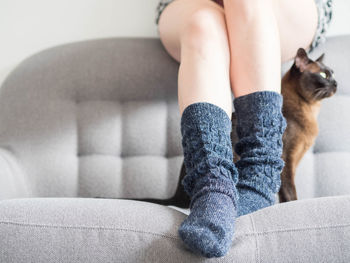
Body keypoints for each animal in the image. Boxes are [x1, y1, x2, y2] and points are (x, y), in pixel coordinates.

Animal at [106, 47, 336, 208]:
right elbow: (290, 193)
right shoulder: (287, 160)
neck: (310, 111)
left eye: (332, 74)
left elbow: (284, 193)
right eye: (324, 75)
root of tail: (176, 195)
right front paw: (292, 205)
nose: (336, 83)